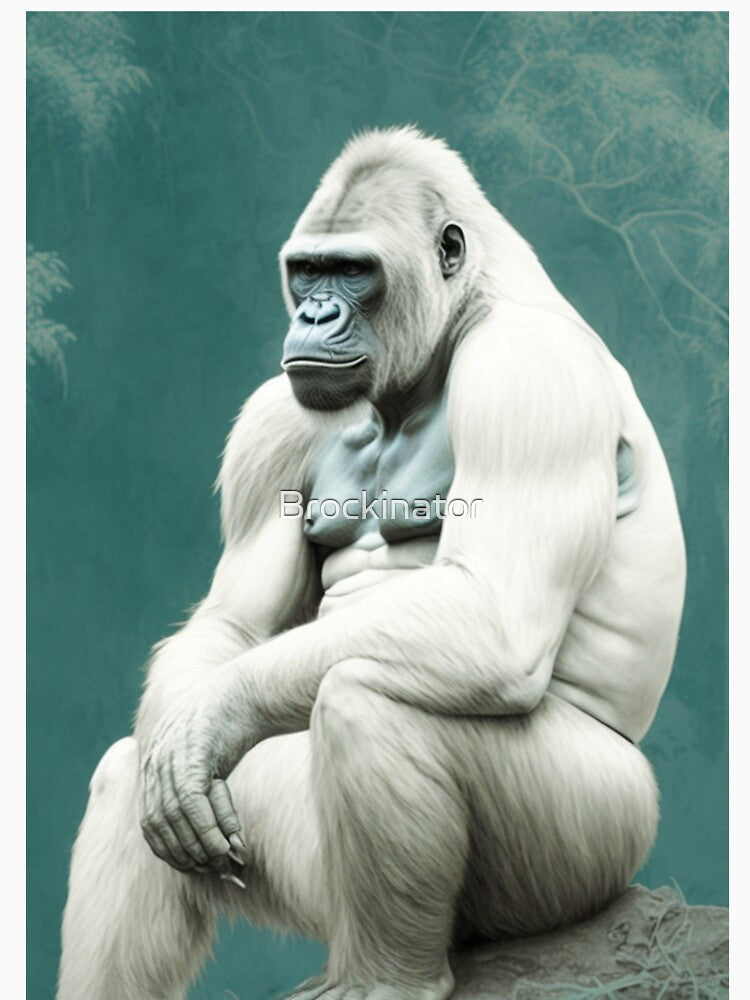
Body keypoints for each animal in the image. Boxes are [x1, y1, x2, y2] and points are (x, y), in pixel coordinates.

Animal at [57, 127, 686, 1000]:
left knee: (374, 700)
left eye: (354, 271)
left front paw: (210, 717)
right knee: (136, 777)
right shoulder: (273, 420)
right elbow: (230, 627)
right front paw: (183, 742)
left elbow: (491, 613)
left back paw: (391, 977)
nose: (315, 312)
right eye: (307, 270)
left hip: (601, 843)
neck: (459, 318)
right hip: (315, 881)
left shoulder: (526, 370)